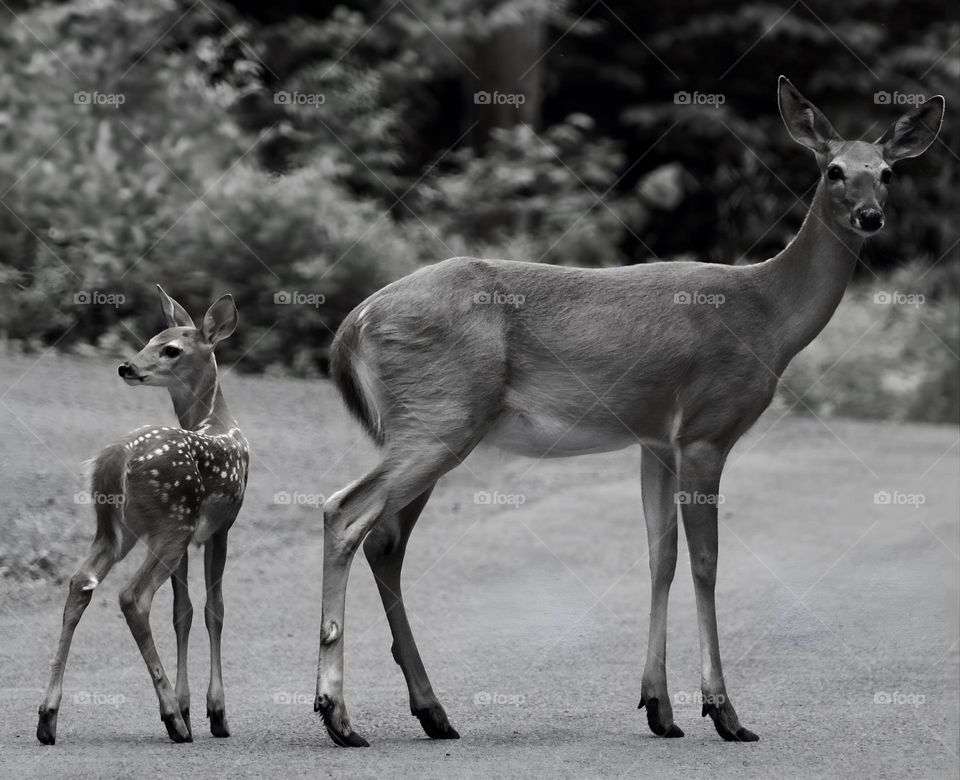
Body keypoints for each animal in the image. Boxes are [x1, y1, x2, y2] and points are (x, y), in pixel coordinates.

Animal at [37, 284, 248, 744]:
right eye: (149, 340)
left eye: (169, 348)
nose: (126, 366)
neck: (217, 421)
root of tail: (117, 456)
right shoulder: (220, 527)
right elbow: (215, 610)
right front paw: (214, 713)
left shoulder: (193, 536)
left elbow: (183, 612)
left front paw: (191, 705)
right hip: (170, 521)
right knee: (132, 596)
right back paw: (172, 719)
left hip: (122, 529)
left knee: (80, 582)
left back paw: (47, 717)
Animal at [316, 77, 944, 744]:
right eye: (833, 170)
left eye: (887, 173)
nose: (870, 216)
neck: (770, 317)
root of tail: (354, 323)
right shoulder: (705, 430)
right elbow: (705, 562)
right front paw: (723, 711)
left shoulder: (655, 440)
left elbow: (659, 560)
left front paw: (660, 708)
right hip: (440, 418)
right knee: (345, 512)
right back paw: (338, 715)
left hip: (426, 424)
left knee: (386, 544)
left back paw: (432, 711)